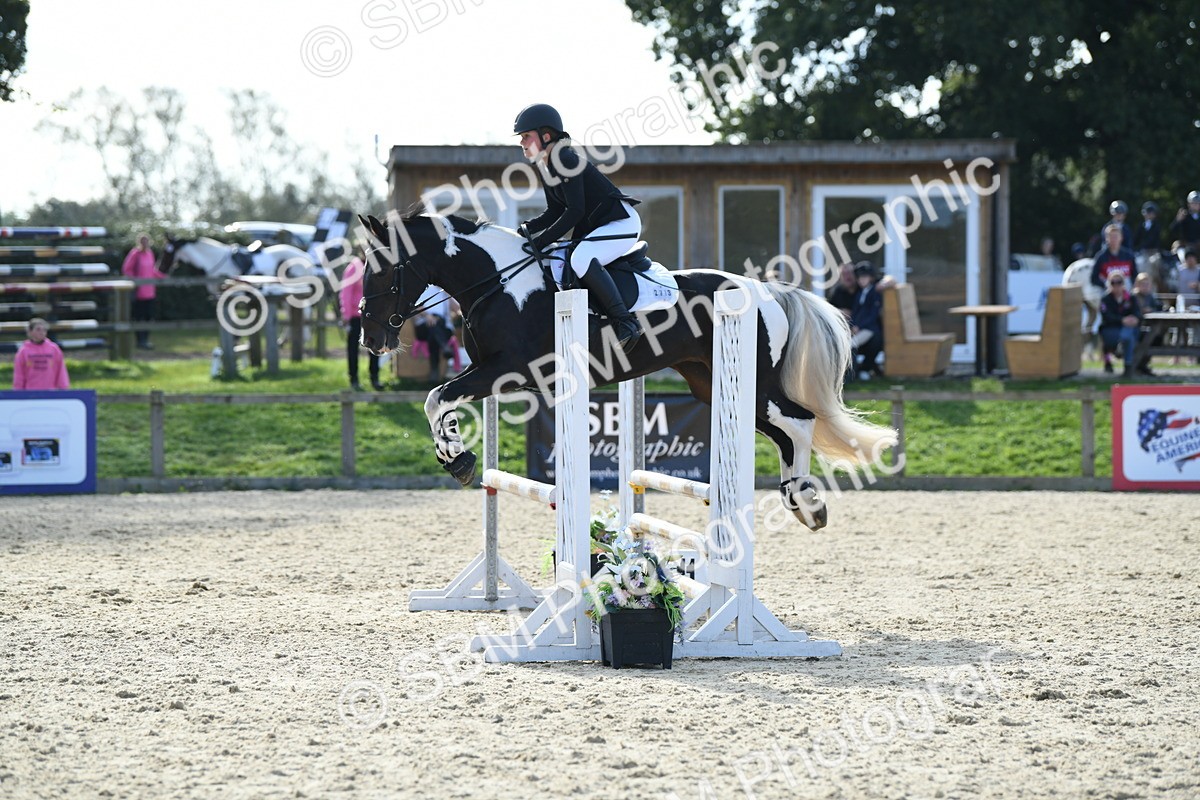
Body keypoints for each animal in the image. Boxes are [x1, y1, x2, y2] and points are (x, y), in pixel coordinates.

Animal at [356, 211, 898, 531]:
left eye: (381, 268)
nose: (369, 337)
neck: (500, 282)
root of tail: (766, 290)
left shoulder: (509, 369)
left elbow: (439, 396)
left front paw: (458, 458)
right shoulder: (487, 369)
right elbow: (442, 398)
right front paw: (456, 457)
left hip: (755, 382)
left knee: (799, 423)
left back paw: (807, 501)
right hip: (712, 382)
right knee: (784, 431)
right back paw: (798, 499)